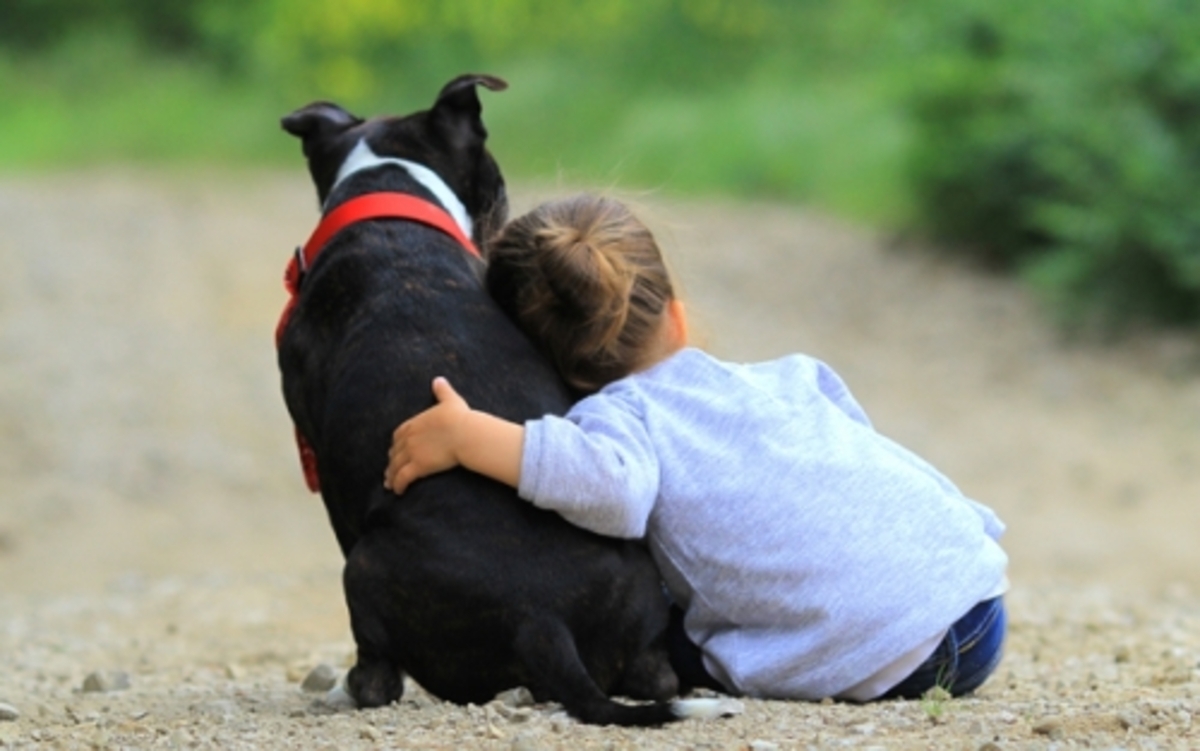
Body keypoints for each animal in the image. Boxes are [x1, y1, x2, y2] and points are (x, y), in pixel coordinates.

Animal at [276, 73, 729, 724]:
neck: (387, 191)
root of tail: (541, 620)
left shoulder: (328, 472)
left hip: (361, 568)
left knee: (380, 678)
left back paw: (346, 690)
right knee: (655, 678)